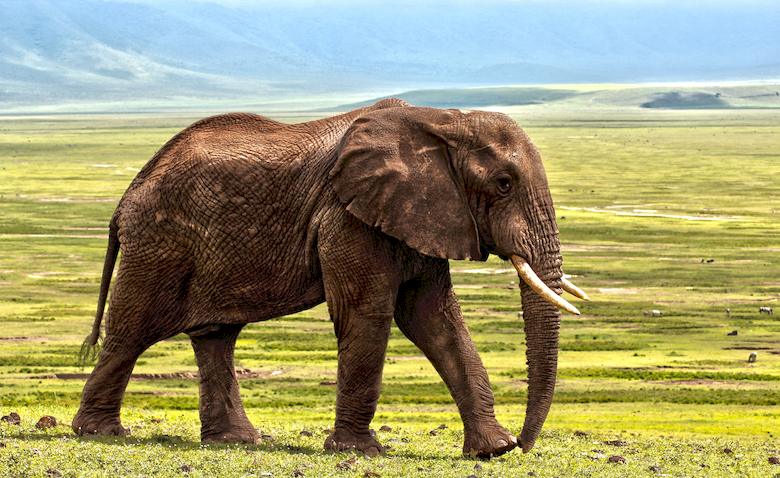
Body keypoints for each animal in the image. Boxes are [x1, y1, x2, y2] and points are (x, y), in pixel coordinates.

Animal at [73, 98, 588, 460]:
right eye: (503, 183)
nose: (524, 444)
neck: (443, 120)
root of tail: (127, 195)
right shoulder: (347, 217)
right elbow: (368, 314)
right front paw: (361, 452)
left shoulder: (420, 215)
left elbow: (435, 319)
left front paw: (491, 451)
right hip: (158, 243)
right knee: (132, 330)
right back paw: (100, 433)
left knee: (215, 336)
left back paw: (236, 442)